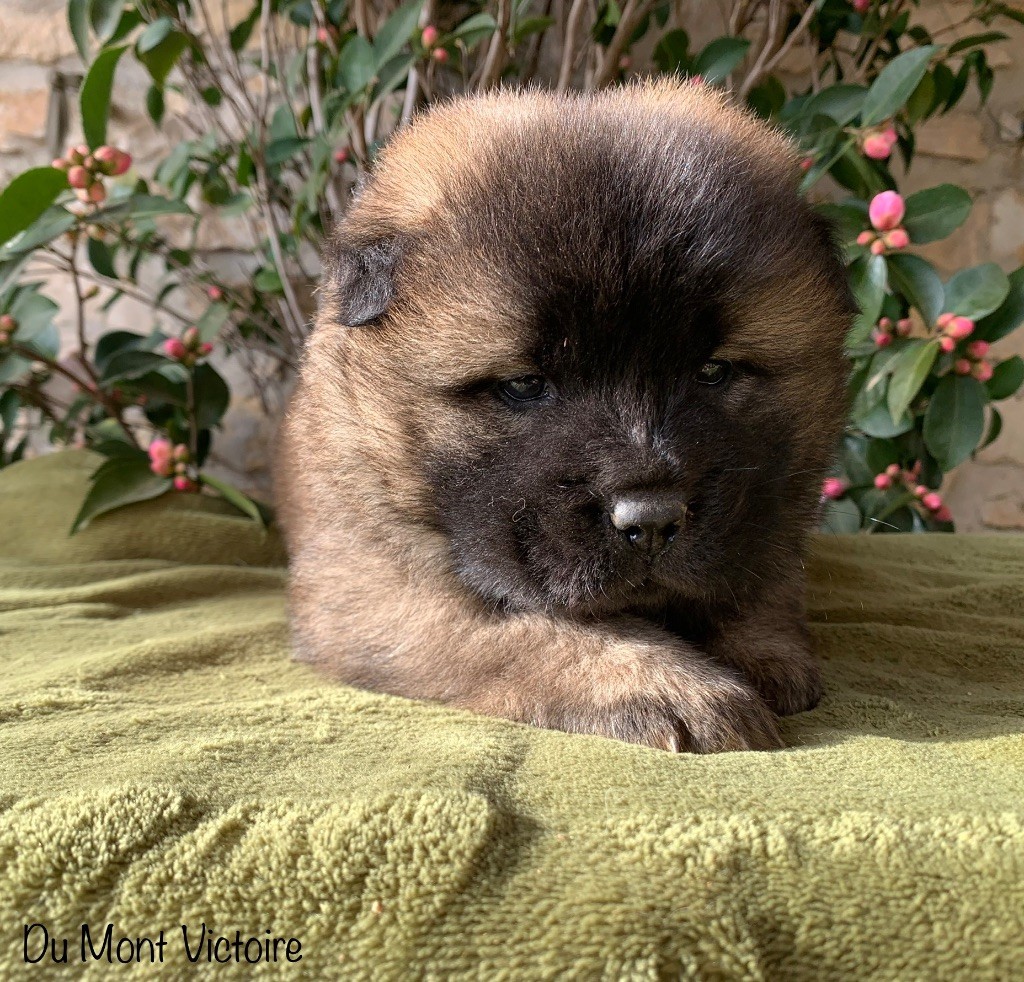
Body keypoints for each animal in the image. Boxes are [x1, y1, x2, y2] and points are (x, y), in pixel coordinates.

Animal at [276, 80, 853, 752]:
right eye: (525, 385)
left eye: (713, 371)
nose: (651, 520)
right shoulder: (372, 589)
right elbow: (531, 627)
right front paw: (674, 688)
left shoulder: (767, 511)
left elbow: (759, 574)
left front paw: (763, 651)